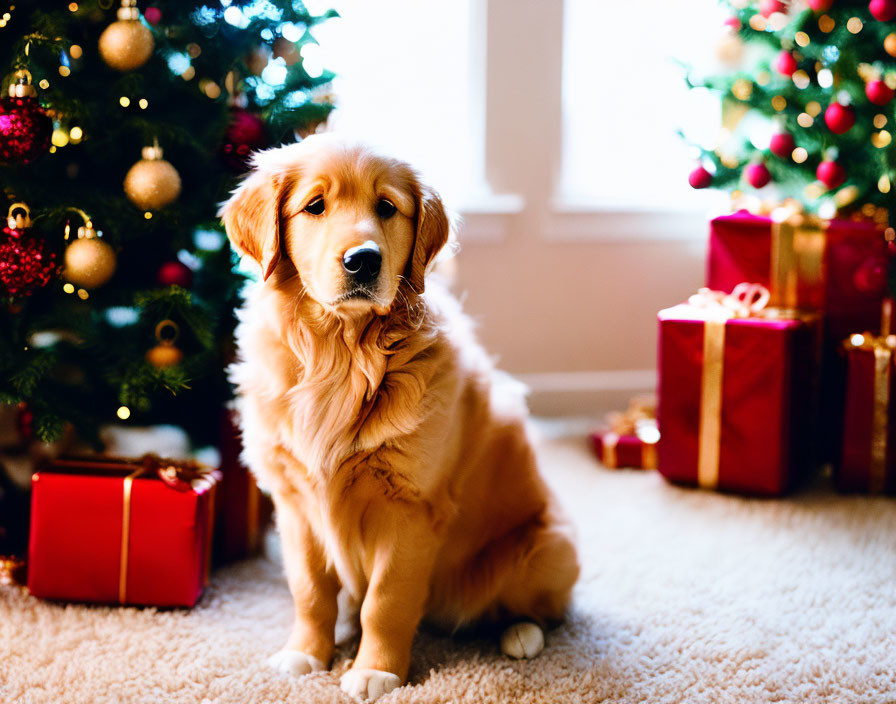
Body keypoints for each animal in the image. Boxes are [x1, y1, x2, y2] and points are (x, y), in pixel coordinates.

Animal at [220, 133, 576, 700]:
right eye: (315, 206)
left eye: (386, 207)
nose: (363, 261)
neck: (342, 355)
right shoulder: (293, 502)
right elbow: (310, 590)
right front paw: (307, 654)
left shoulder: (410, 507)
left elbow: (386, 600)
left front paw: (375, 671)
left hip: (544, 551)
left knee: (542, 610)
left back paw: (521, 634)